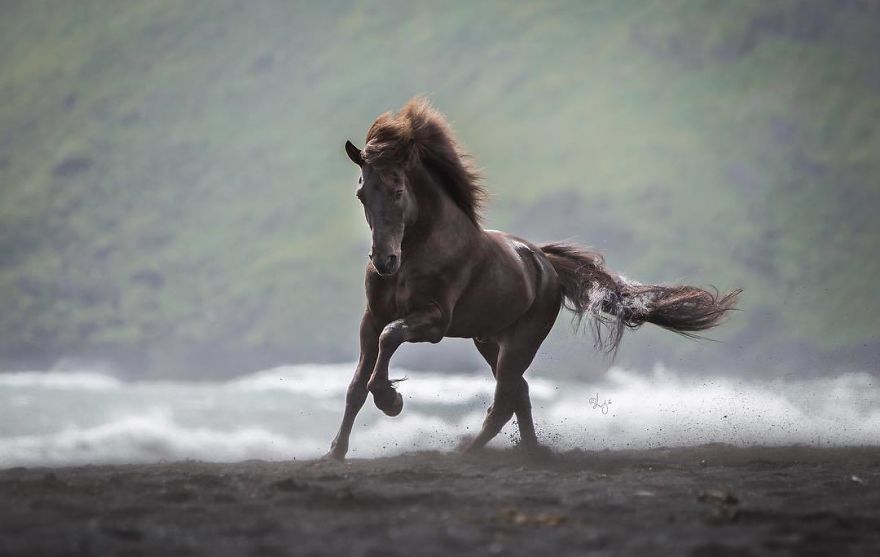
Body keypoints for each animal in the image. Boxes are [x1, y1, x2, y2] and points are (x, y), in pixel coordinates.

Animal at [326, 98, 740, 460]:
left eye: (398, 191)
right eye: (362, 193)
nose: (384, 261)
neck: (419, 251)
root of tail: (544, 262)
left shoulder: (434, 322)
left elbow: (390, 338)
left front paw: (390, 400)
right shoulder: (372, 317)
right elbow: (356, 384)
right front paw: (335, 452)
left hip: (521, 341)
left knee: (505, 399)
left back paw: (470, 453)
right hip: (490, 340)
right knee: (518, 392)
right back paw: (529, 451)